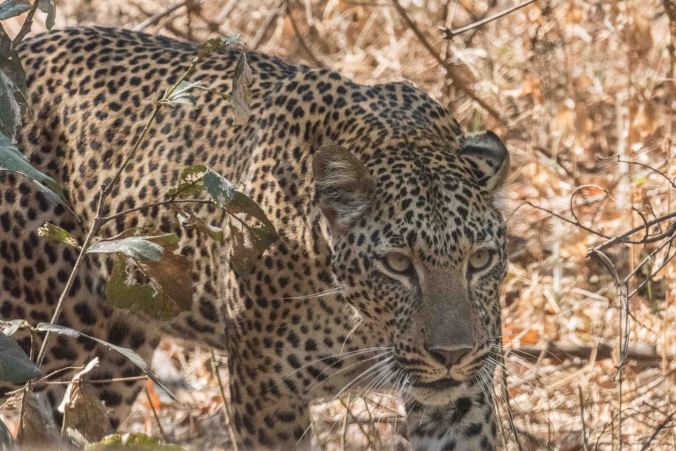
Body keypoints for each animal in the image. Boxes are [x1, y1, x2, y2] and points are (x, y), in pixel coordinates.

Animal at [0, 27, 509, 450]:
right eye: (398, 264)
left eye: (480, 260)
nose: (452, 355)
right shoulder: (267, 394)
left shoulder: (462, 398)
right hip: (40, 343)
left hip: (112, 353)